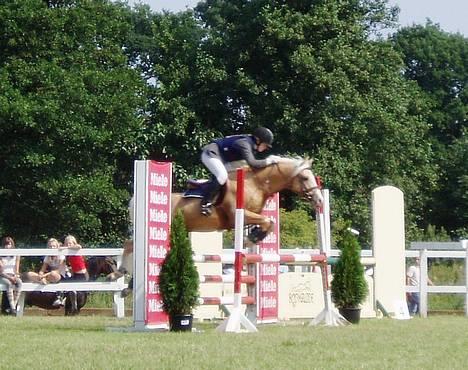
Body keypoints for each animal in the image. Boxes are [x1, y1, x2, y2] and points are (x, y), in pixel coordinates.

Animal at [172, 156, 322, 243]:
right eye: (305, 178)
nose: (320, 200)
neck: (255, 184)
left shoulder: (253, 215)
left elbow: (269, 223)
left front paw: (254, 235)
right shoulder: (238, 215)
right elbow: (267, 221)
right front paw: (250, 239)